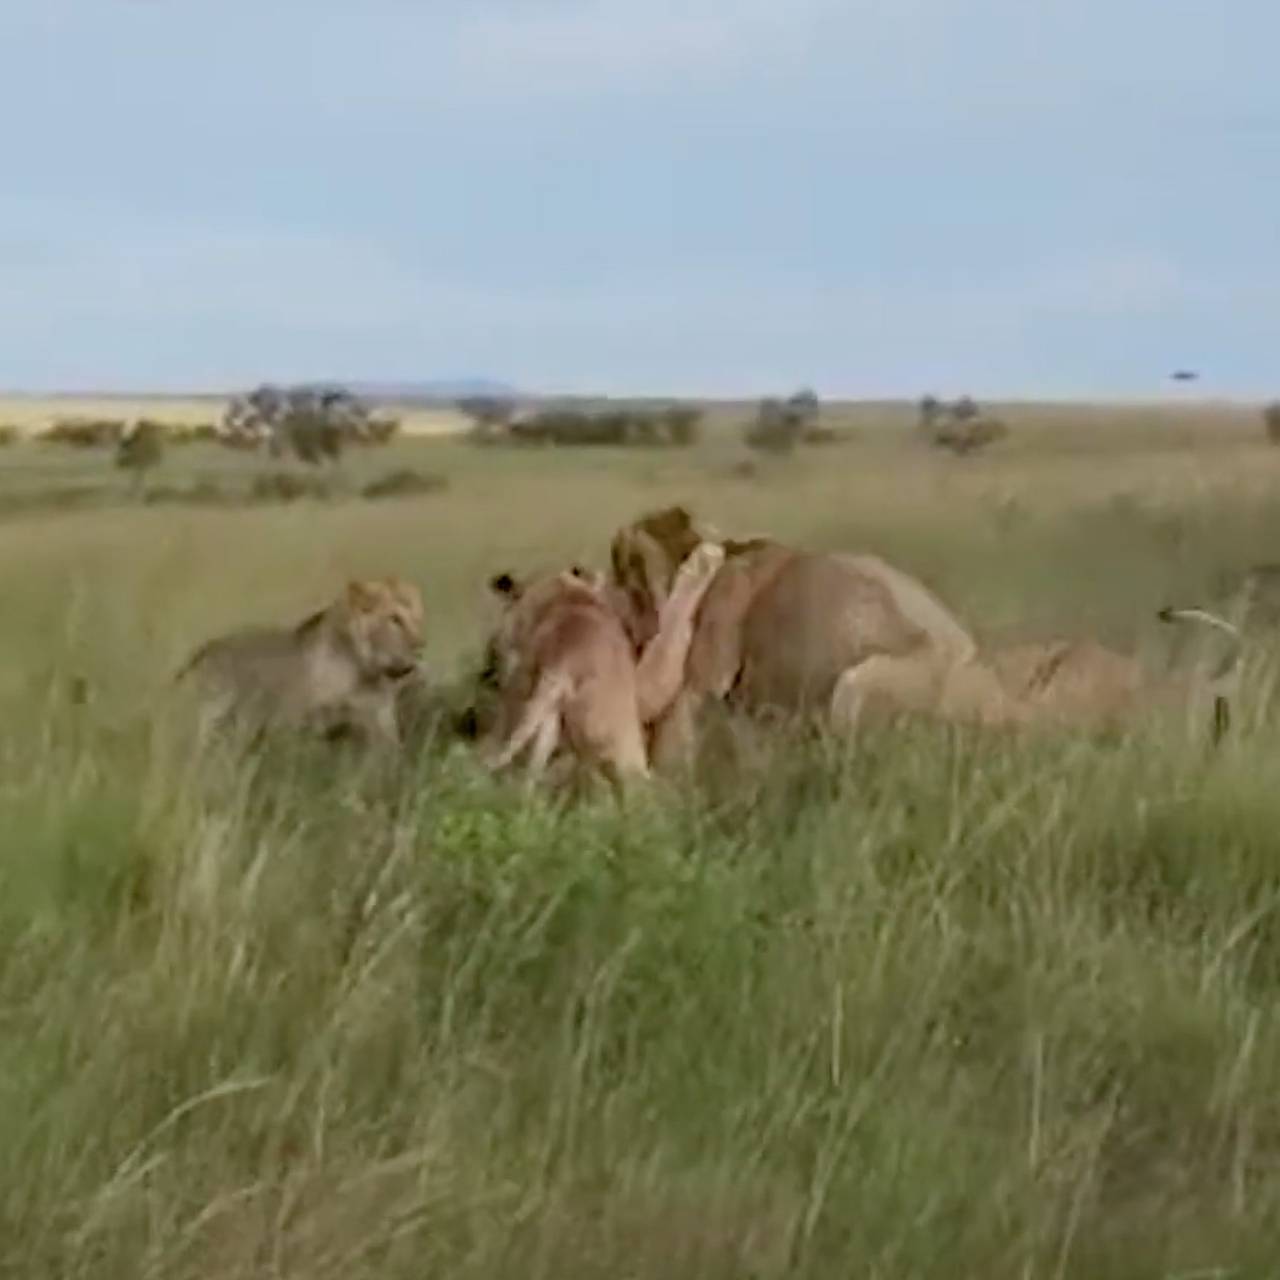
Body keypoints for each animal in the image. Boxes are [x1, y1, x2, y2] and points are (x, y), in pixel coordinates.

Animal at [177, 578, 424, 747]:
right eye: (395, 619)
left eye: (418, 617)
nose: (421, 646)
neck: (367, 670)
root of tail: (207, 647)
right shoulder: (310, 720)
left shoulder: (381, 720)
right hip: (216, 716)